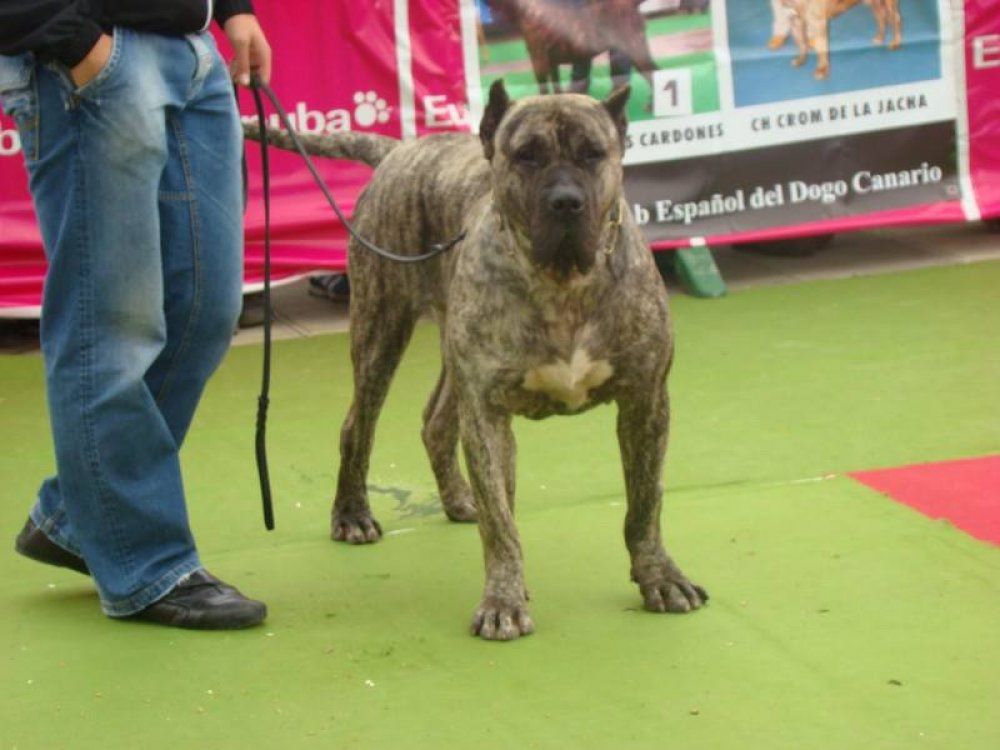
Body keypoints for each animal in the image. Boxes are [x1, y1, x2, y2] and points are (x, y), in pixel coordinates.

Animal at [245, 83, 708, 648]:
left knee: (436, 421)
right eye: (526, 155)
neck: (563, 284)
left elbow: (645, 503)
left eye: (592, 154)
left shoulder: (645, 401)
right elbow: (501, 521)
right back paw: (353, 514)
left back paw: (457, 499)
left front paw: (660, 577)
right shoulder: (488, 412)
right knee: (359, 426)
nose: (566, 201)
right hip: (381, 327)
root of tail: (402, 150)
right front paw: (504, 600)